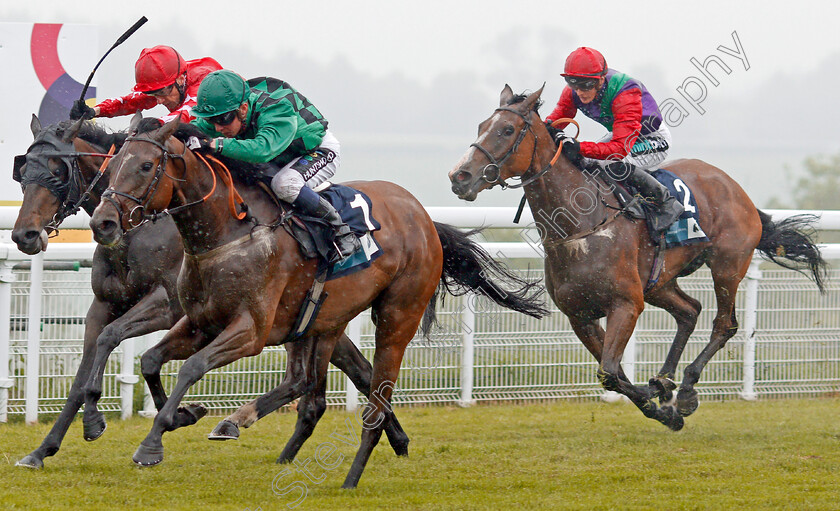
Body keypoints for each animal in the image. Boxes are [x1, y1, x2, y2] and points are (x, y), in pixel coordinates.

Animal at [11, 117, 412, 472]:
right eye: (23, 171)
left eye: (57, 169)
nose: (23, 235)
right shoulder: (103, 304)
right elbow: (84, 374)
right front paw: (44, 449)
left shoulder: (167, 305)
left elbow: (114, 340)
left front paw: (159, 417)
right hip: (307, 316)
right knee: (353, 368)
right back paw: (396, 438)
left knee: (353, 370)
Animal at [85, 116, 544, 488]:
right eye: (113, 163)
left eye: (146, 166)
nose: (102, 223)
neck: (228, 232)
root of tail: (424, 217)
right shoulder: (198, 322)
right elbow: (151, 361)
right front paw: (183, 415)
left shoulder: (250, 331)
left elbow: (192, 368)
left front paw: (151, 444)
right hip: (323, 319)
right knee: (307, 387)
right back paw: (251, 431)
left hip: (396, 315)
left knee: (369, 398)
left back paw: (350, 475)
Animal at [450, 86, 824, 430]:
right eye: (482, 125)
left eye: (507, 130)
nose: (460, 176)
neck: (580, 226)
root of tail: (737, 189)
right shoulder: (580, 316)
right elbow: (614, 373)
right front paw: (660, 407)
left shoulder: (626, 304)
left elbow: (610, 372)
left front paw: (664, 403)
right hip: (659, 281)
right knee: (689, 311)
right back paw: (664, 380)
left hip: (727, 265)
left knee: (724, 324)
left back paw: (686, 390)